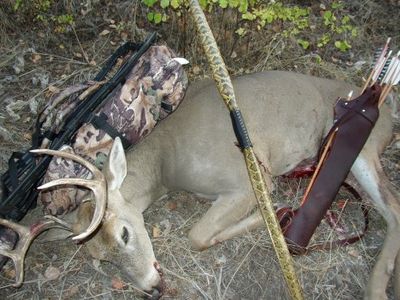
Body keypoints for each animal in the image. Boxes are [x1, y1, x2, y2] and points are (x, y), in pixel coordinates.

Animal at [1, 71, 398, 298]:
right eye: (100, 260)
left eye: (124, 233)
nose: (152, 287)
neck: (167, 163)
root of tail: (388, 111)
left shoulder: (249, 178)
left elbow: (197, 235)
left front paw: (279, 214)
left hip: (363, 151)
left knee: (392, 207)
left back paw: (377, 288)